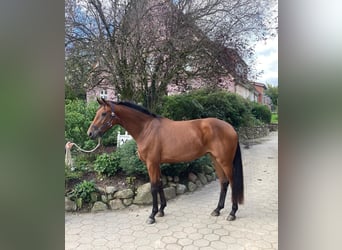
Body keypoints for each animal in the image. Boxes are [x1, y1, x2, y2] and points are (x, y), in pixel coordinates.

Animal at [87, 98, 243, 225]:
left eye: (103, 114)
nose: (90, 133)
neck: (146, 129)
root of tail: (231, 128)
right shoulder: (157, 163)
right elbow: (160, 183)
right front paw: (161, 210)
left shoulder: (151, 163)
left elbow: (153, 186)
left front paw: (152, 215)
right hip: (215, 160)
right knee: (224, 182)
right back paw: (217, 210)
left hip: (225, 161)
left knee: (232, 182)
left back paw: (232, 213)